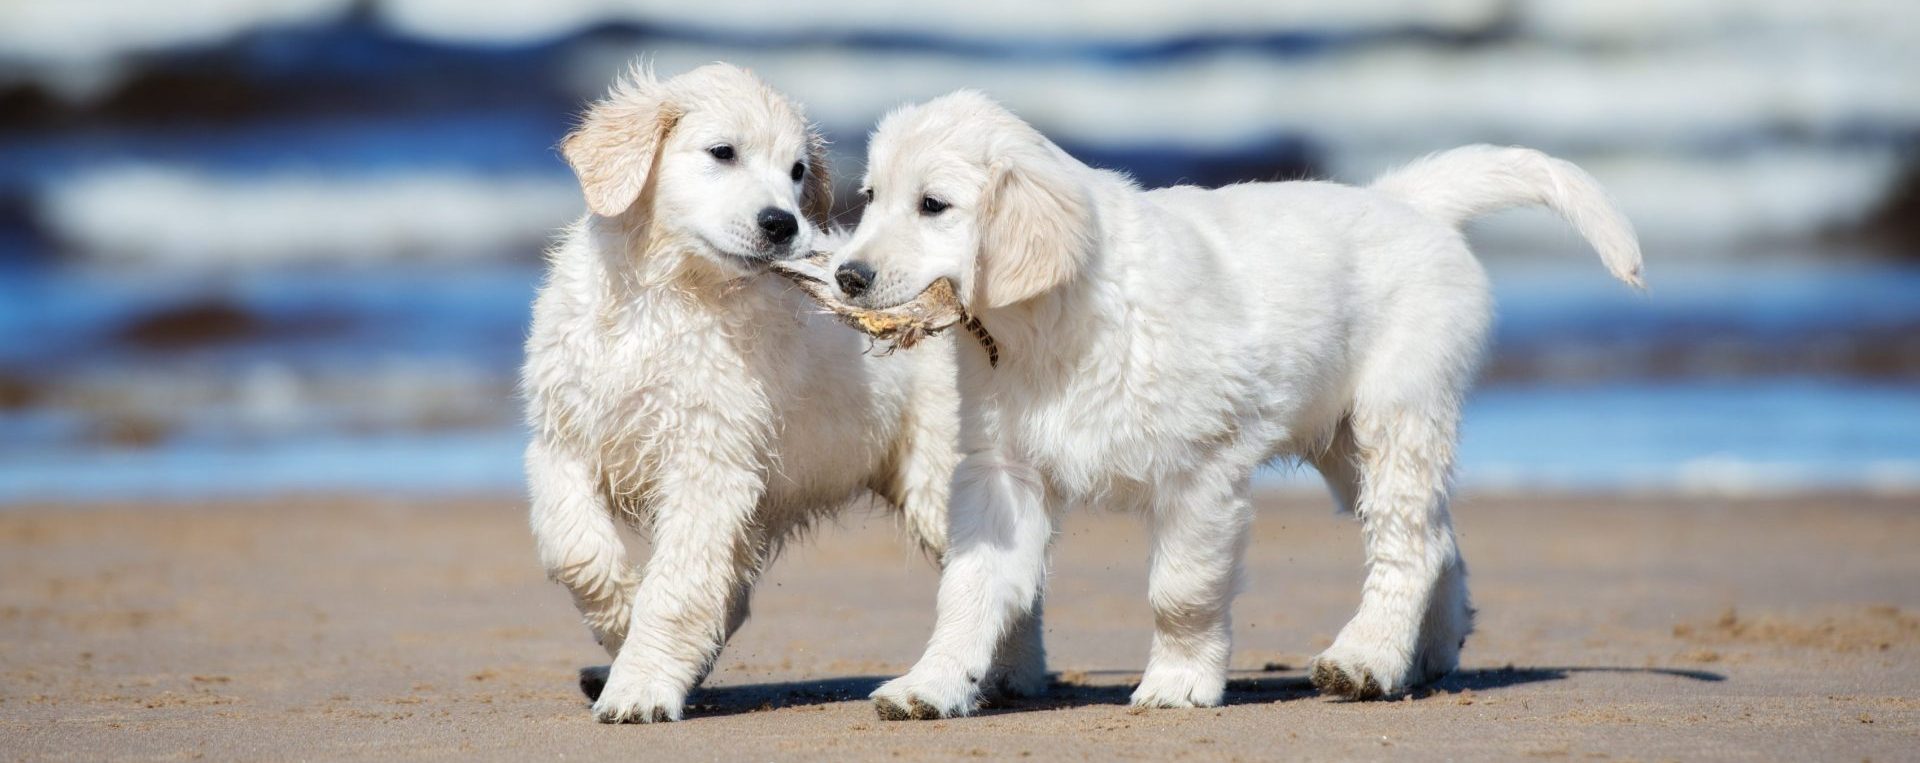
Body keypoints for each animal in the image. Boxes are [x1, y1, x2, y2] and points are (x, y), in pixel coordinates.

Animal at [518, 63, 1044, 718]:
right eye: (723, 152)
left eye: (796, 171)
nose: (782, 223)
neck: (666, 295)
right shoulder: (561, 438)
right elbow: (574, 549)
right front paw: (618, 619)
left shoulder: (710, 464)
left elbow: (675, 587)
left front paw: (638, 686)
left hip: (938, 473)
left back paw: (1011, 675)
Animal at [833, 92, 1643, 714]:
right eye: (868, 198)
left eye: (933, 205)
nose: (846, 274)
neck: (1046, 324)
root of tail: (1403, 200)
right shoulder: (1001, 473)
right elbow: (969, 588)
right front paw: (932, 684)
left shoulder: (1200, 472)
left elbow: (1181, 591)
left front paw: (1179, 682)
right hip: (1344, 443)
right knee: (1438, 540)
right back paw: (1420, 656)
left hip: (1400, 411)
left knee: (1407, 543)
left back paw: (1366, 658)